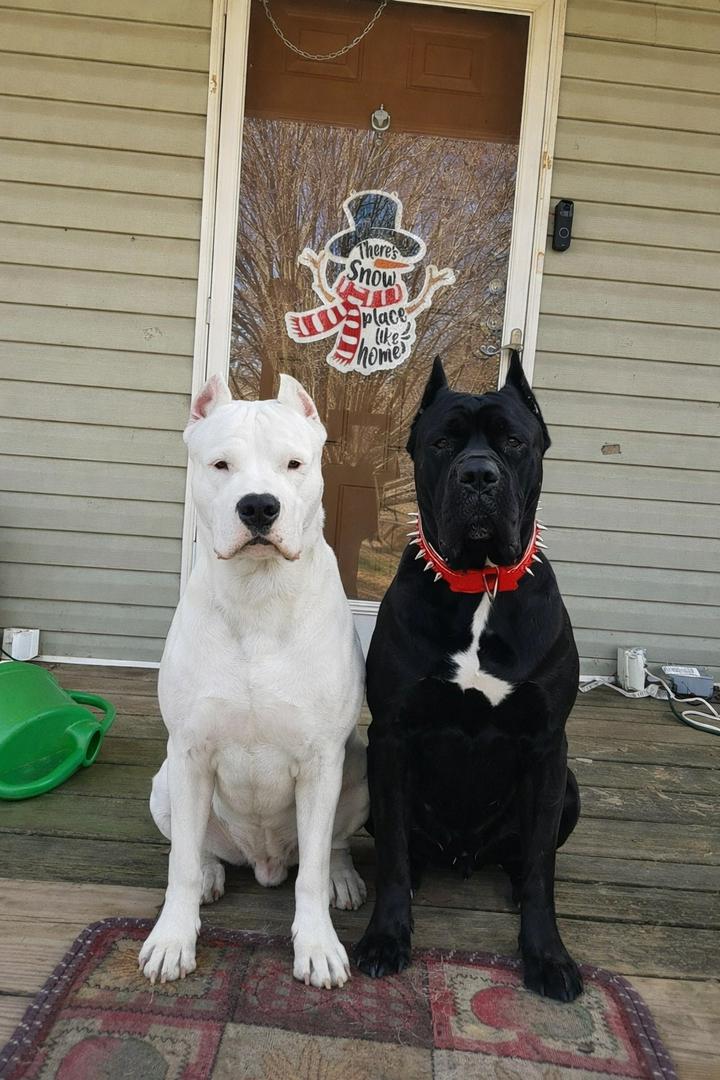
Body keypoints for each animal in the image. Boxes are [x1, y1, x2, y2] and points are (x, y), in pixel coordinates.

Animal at [139, 373, 368, 989]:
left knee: (331, 846)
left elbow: (312, 867)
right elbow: (178, 866)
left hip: (359, 774)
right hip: (166, 784)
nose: (259, 506)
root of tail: (263, 863)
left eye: (294, 464)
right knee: (195, 849)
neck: (259, 595)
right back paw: (211, 874)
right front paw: (173, 938)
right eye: (221, 465)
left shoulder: (321, 760)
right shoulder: (191, 752)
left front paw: (317, 946)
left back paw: (341, 877)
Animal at [354, 353, 583, 1002]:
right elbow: (393, 854)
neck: (480, 583)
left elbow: (542, 864)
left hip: (568, 789)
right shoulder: (392, 736)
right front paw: (386, 937)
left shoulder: (548, 744)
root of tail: (465, 854)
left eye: (513, 442)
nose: (478, 476)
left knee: (524, 857)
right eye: (441, 443)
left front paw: (547, 955)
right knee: (407, 847)